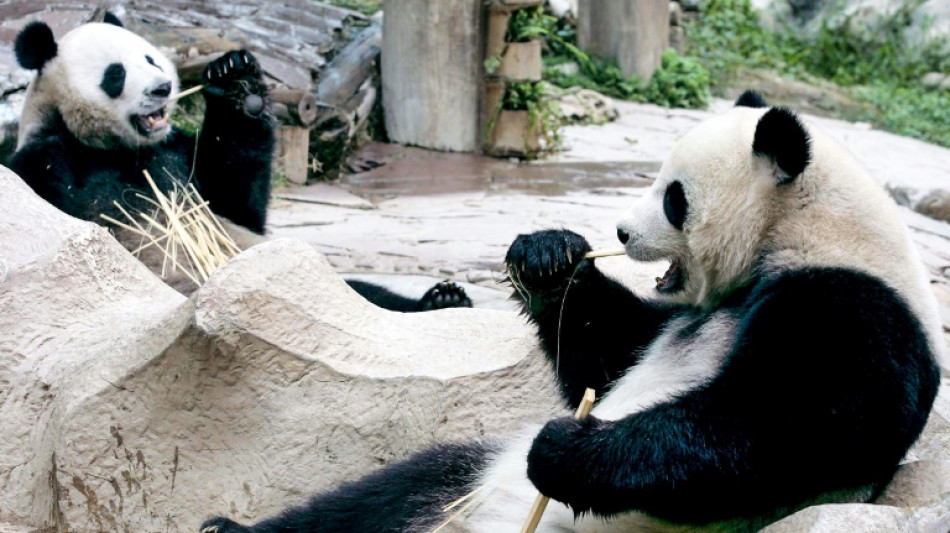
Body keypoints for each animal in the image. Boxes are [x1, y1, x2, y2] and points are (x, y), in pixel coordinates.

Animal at [8, 16, 471, 312]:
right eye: (116, 74)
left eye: (150, 59)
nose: (161, 89)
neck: (115, 147)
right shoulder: (47, 159)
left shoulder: (178, 157)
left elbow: (237, 202)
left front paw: (237, 81)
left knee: (364, 297)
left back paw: (442, 299)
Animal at [199, 90, 942, 532]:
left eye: (673, 196)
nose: (620, 231)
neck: (805, 229)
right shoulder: (680, 316)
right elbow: (607, 355)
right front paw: (547, 258)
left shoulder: (853, 306)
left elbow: (783, 425)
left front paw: (570, 451)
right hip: (462, 480)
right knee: (383, 495)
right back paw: (227, 527)